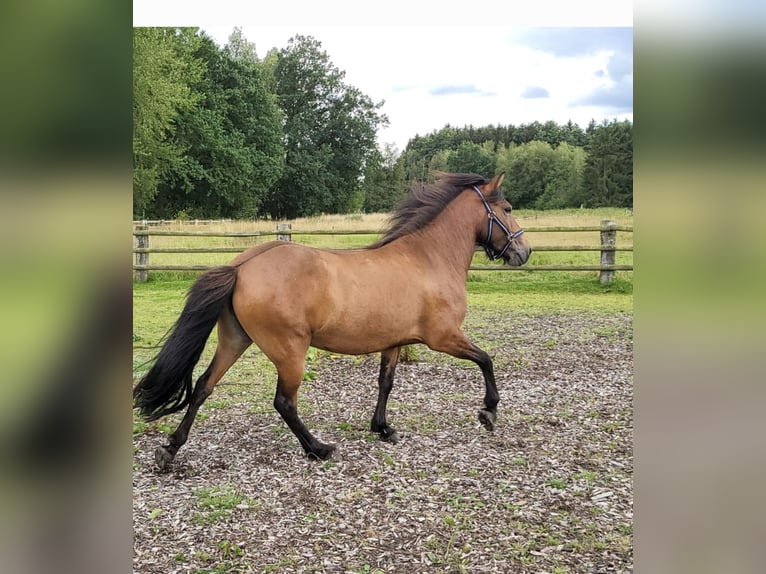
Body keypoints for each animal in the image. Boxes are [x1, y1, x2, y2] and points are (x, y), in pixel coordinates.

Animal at [133, 172, 531, 470]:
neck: (428, 258)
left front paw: (383, 428)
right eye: (508, 208)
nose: (524, 252)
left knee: (203, 386)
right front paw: (489, 412)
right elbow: (486, 360)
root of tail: (243, 266)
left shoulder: (394, 342)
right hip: (290, 351)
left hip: (235, 340)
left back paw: (169, 450)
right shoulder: (444, 337)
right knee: (284, 402)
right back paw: (319, 448)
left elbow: (385, 383)